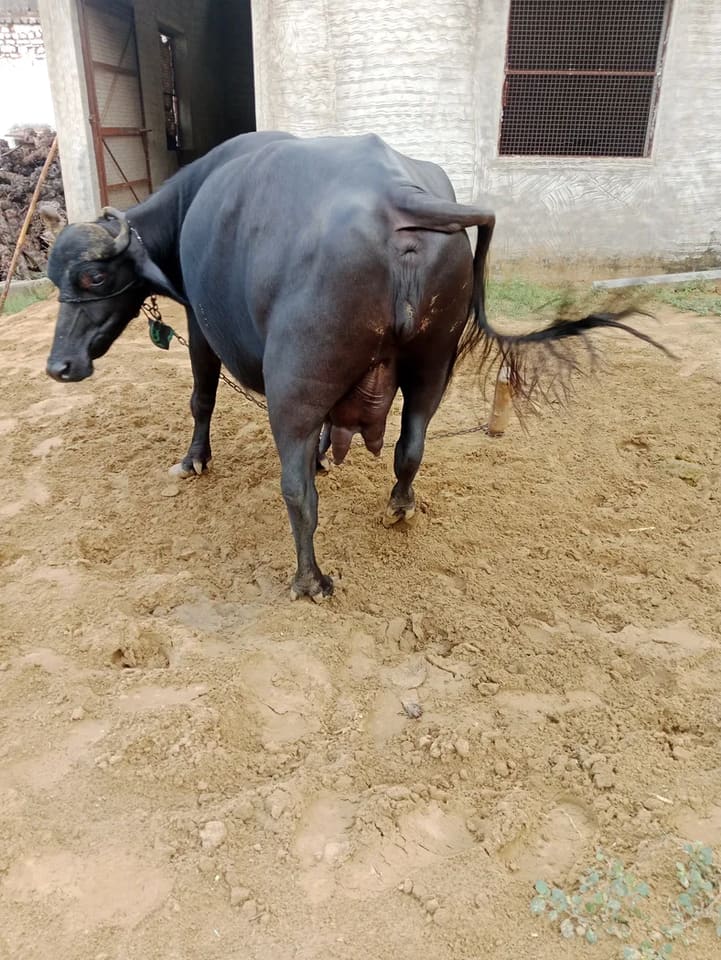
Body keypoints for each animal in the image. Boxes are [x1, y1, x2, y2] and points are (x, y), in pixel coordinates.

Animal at [45, 131, 667, 599]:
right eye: (54, 279)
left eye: (93, 277)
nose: (59, 366)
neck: (190, 204)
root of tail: (399, 195)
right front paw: (328, 454)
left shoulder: (201, 325)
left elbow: (202, 397)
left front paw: (193, 460)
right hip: (433, 364)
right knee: (410, 445)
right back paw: (400, 508)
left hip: (294, 384)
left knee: (296, 489)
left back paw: (308, 580)